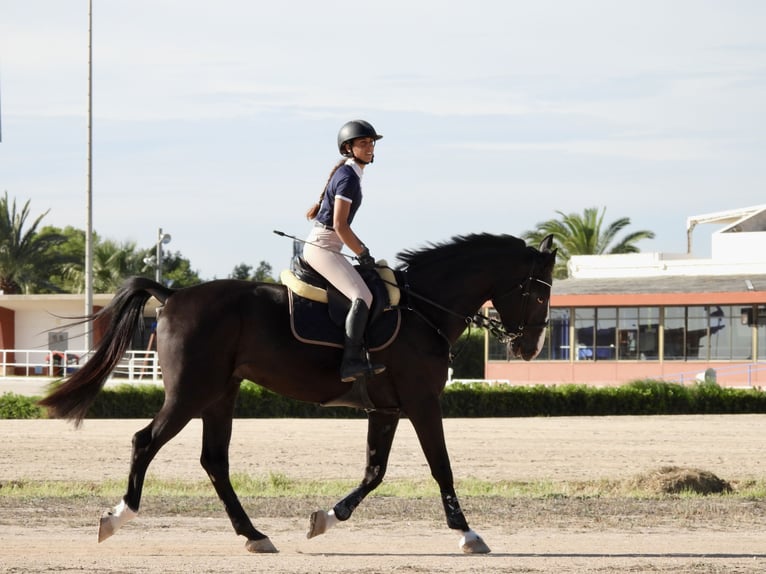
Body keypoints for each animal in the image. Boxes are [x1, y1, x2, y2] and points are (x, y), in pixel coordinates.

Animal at [39, 232, 560, 556]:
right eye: (539, 293)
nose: (529, 348)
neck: (422, 309)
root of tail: (173, 296)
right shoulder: (421, 403)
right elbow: (441, 467)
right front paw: (468, 533)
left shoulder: (388, 409)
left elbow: (373, 472)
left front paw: (327, 518)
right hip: (190, 394)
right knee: (145, 442)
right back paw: (118, 516)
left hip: (220, 395)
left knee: (214, 461)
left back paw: (253, 534)